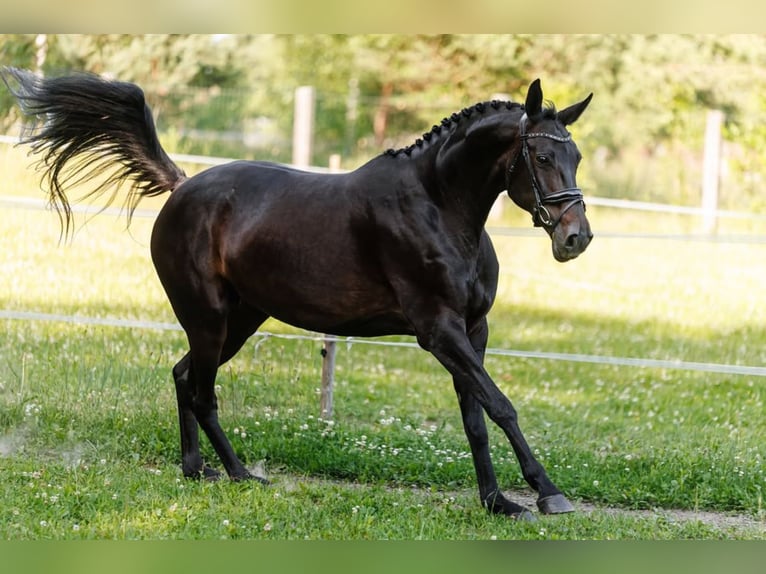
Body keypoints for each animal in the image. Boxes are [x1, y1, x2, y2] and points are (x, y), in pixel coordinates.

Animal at [2, 67, 593, 520]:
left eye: (577, 157)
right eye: (542, 158)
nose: (576, 238)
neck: (440, 205)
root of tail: (183, 186)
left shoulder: (473, 329)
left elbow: (476, 416)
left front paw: (497, 501)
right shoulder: (438, 331)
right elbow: (501, 406)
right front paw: (548, 493)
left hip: (239, 321)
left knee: (184, 376)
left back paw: (201, 470)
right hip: (209, 319)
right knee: (201, 390)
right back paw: (237, 473)